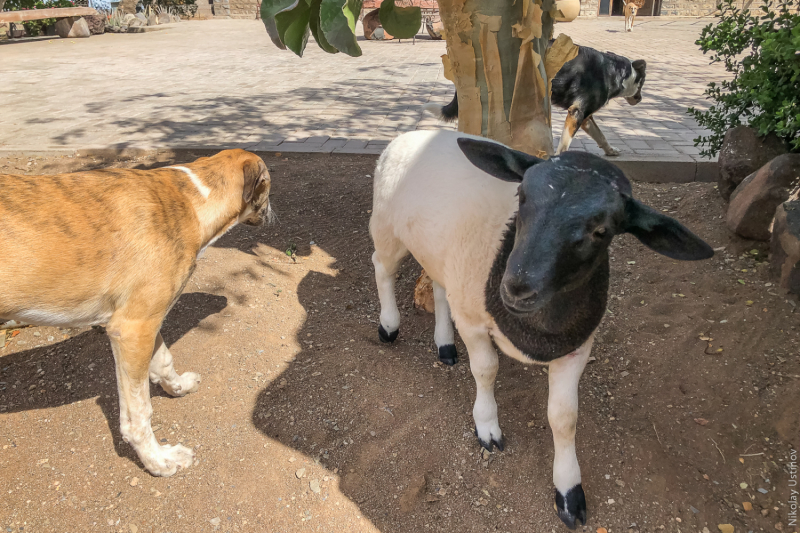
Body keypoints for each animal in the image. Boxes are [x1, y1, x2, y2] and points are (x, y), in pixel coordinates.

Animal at [0, 149, 272, 474]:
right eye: (269, 185)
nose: (272, 213)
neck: (190, 199)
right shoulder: (132, 328)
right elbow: (139, 413)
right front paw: (159, 460)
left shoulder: (148, 320)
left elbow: (164, 360)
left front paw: (178, 386)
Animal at [422, 44, 648, 157]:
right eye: (643, 83)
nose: (641, 99)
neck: (617, 72)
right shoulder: (576, 113)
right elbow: (565, 143)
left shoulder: (585, 117)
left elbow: (601, 136)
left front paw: (610, 151)